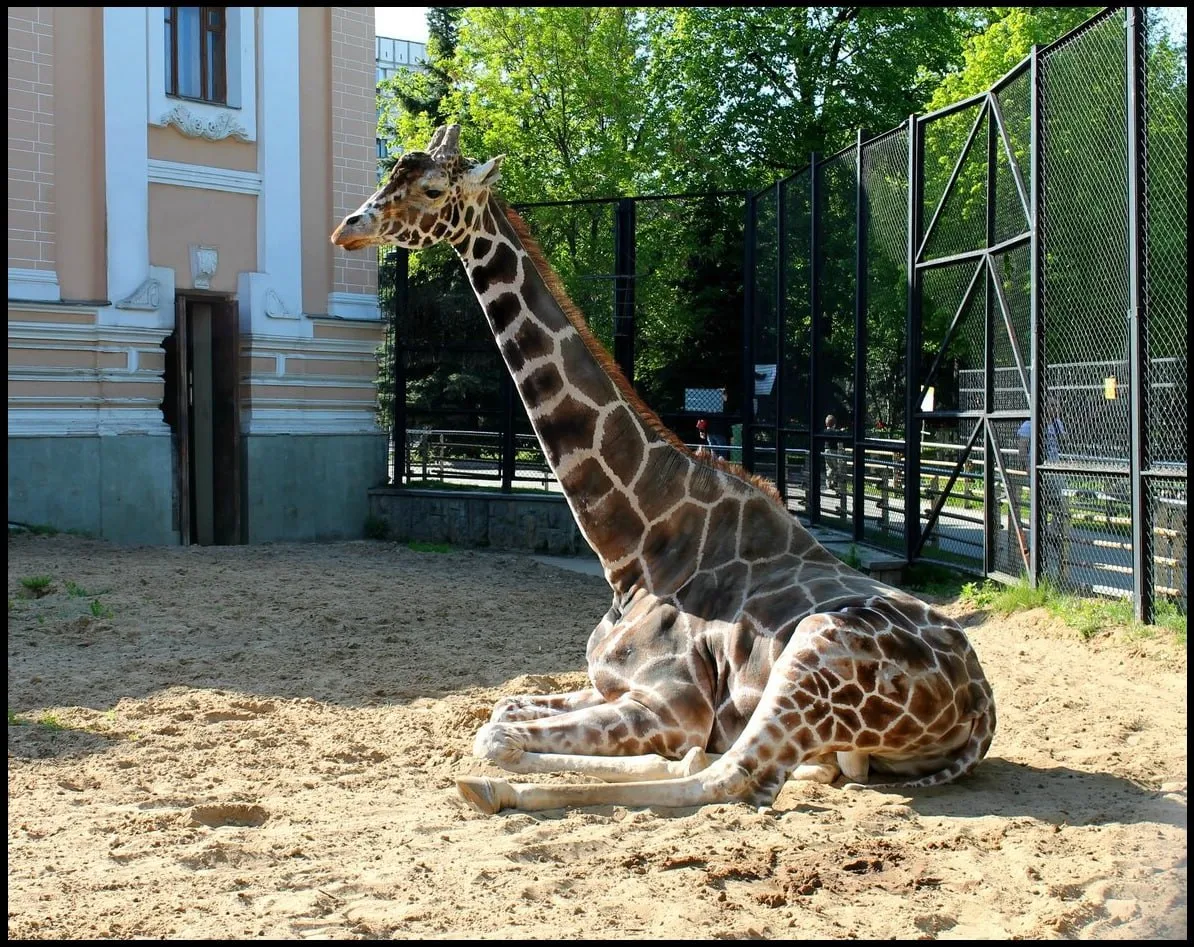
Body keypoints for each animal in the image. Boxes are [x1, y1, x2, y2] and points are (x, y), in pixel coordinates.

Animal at [331, 125, 993, 816]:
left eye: (433, 189)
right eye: (391, 174)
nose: (348, 228)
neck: (636, 548)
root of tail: (980, 708)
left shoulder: (674, 706)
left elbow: (496, 733)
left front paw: (499, 768)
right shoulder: (609, 685)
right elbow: (502, 710)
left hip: (814, 653)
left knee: (727, 775)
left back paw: (496, 789)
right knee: (728, 765)